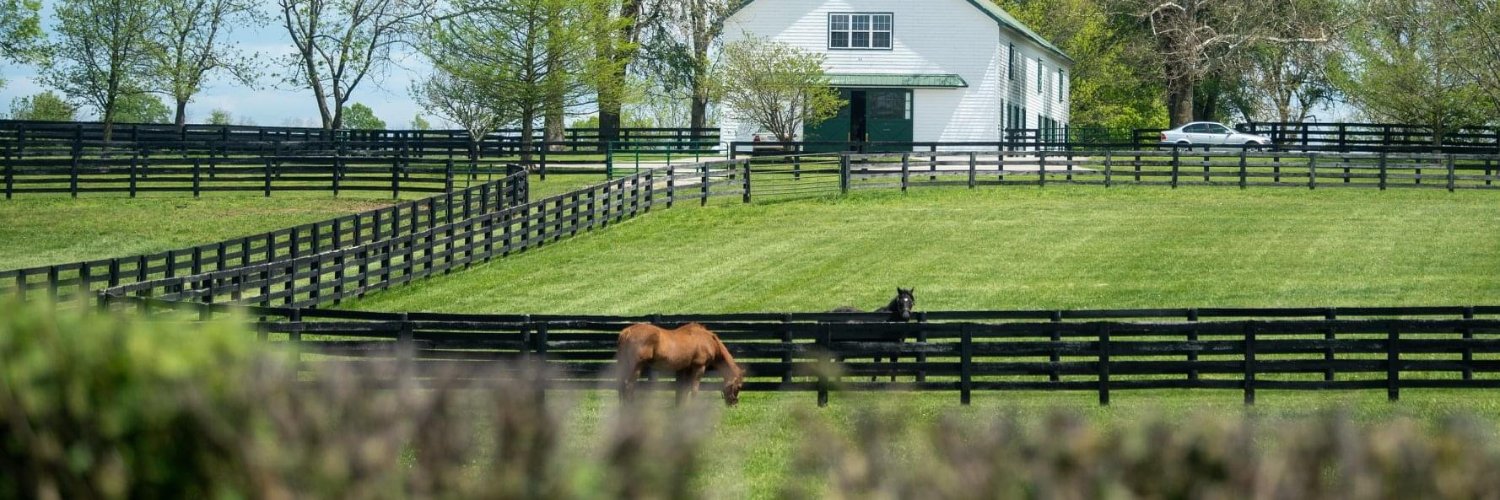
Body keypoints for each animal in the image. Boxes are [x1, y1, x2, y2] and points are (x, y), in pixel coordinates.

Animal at [616, 322, 746, 406]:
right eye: (739, 387)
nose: (734, 404)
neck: (708, 341)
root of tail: (627, 332)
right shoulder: (699, 368)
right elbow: (694, 390)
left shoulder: (685, 369)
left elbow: (684, 390)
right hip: (636, 367)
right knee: (629, 386)